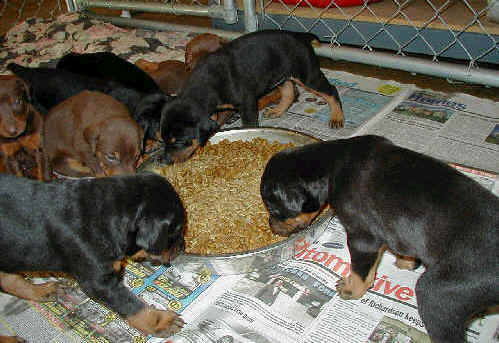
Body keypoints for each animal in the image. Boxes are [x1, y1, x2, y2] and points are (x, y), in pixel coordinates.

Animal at [0, 173, 187, 340]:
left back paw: (44, 291)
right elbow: (129, 303)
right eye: (175, 232)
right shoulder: (98, 283)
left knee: (9, 279)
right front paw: (161, 321)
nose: (183, 247)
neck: (105, 214)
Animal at [160, 29, 344, 164]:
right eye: (163, 140)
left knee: (331, 91)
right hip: (280, 75)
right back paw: (277, 111)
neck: (204, 85)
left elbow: (248, 125)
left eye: (178, 141)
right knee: (289, 92)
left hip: (307, 75)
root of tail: (300, 36)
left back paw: (336, 117)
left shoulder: (247, 104)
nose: (167, 161)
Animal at [262, 136, 499, 342]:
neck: (331, 164)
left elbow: (361, 272)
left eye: (273, 209)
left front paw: (350, 289)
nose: (270, 225)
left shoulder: (362, 238)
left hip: (436, 294)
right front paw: (406, 262)